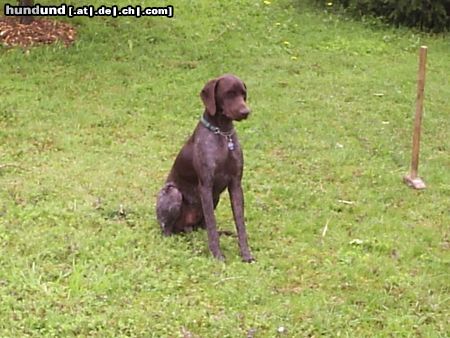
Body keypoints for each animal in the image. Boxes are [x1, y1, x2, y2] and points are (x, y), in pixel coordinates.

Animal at [156, 74, 253, 262]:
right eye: (229, 93)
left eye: (243, 94)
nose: (246, 112)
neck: (222, 133)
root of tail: (186, 225)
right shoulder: (206, 186)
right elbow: (212, 226)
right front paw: (217, 255)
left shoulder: (236, 185)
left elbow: (240, 224)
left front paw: (246, 254)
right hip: (173, 193)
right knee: (168, 230)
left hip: (215, 198)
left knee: (202, 227)